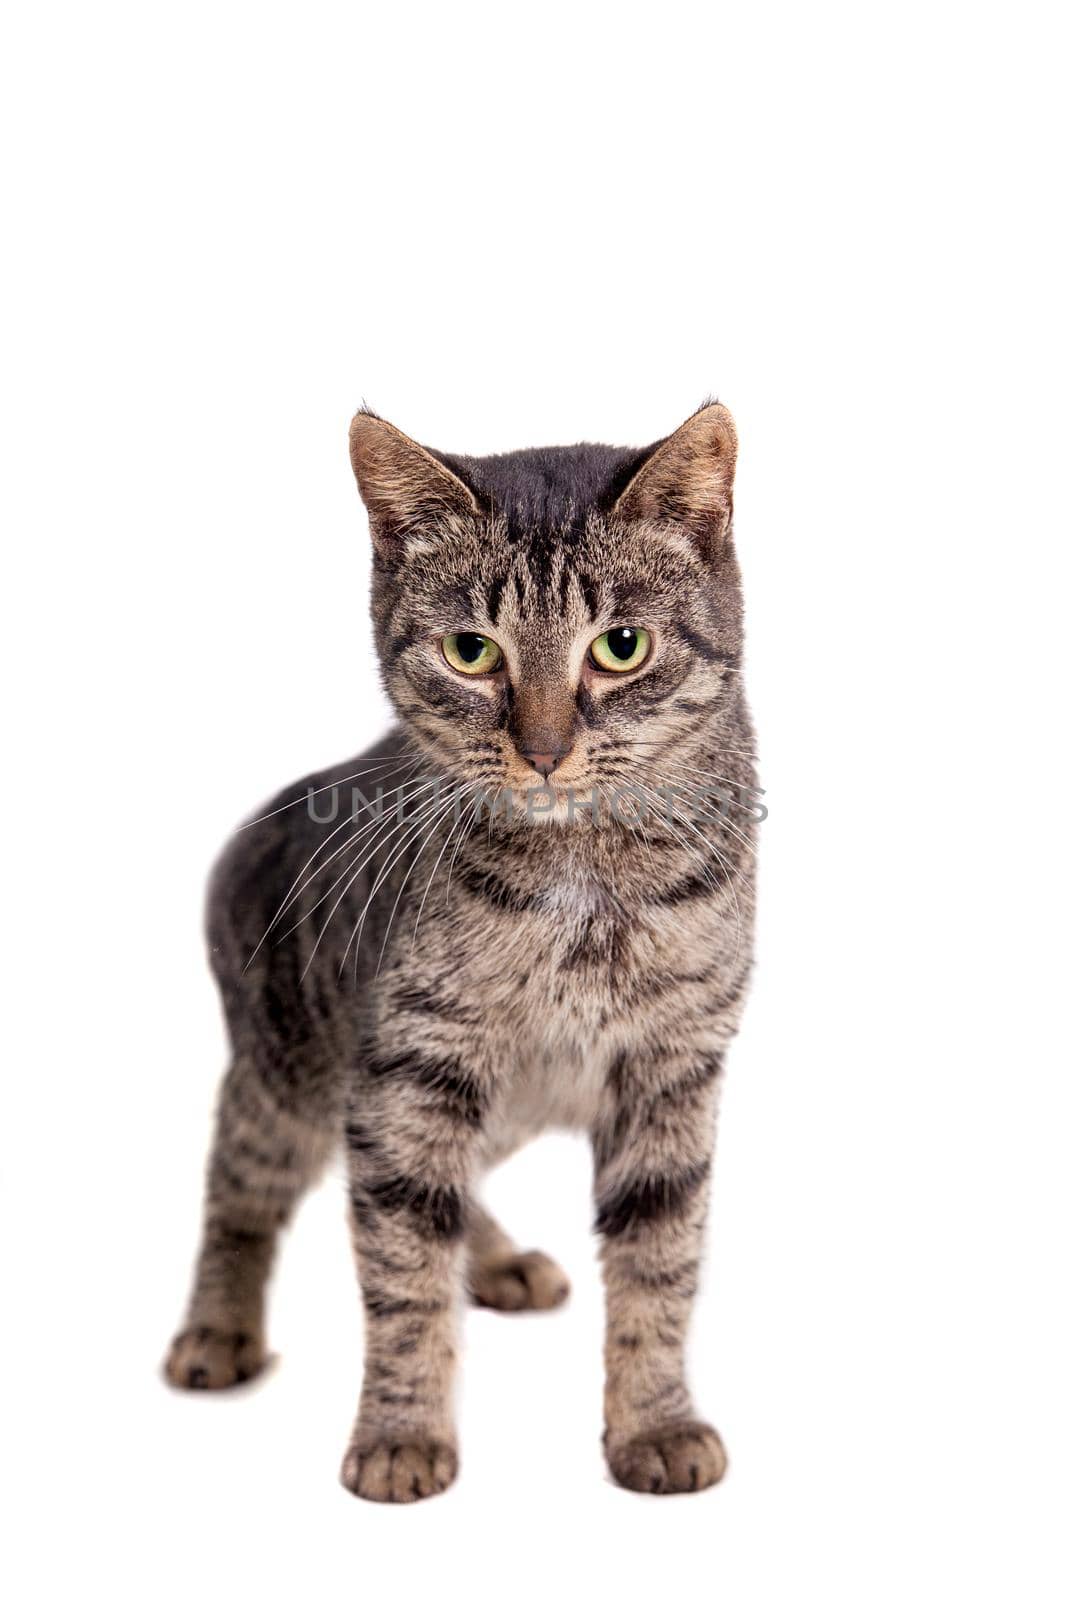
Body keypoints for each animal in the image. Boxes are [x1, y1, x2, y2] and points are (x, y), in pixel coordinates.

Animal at [164, 400, 758, 1497]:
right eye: (471, 652)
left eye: (619, 645)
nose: (543, 749)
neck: (585, 888)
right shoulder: (411, 1060)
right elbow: (401, 1272)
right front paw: (400, 1433)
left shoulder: (673, 1067)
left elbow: (659, 1262)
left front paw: (653, 1422)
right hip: (287, 1072)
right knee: (243, 1189)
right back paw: (218, 1328)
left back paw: (497, 1259)